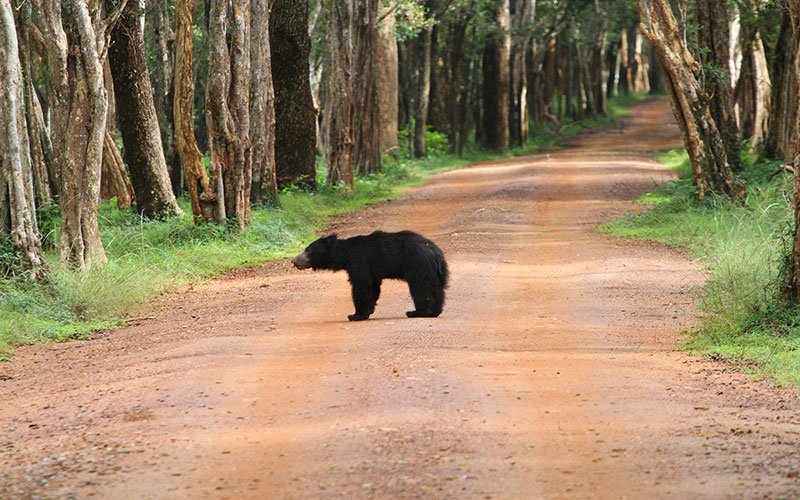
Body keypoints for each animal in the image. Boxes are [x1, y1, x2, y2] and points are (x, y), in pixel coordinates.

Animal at [290, 229, 450, 320]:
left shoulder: (360, 262)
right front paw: (368, 311)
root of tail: (435, 251)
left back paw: (417, 312)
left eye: (308, 250)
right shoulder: (374, 270)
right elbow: (373, 287)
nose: (294, 260)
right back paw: (435, 312)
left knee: (421, 289)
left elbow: (361, 286)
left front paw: (355, 315)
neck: (346, 256)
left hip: (418, 265)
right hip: (436, 272)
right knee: (437, 289)